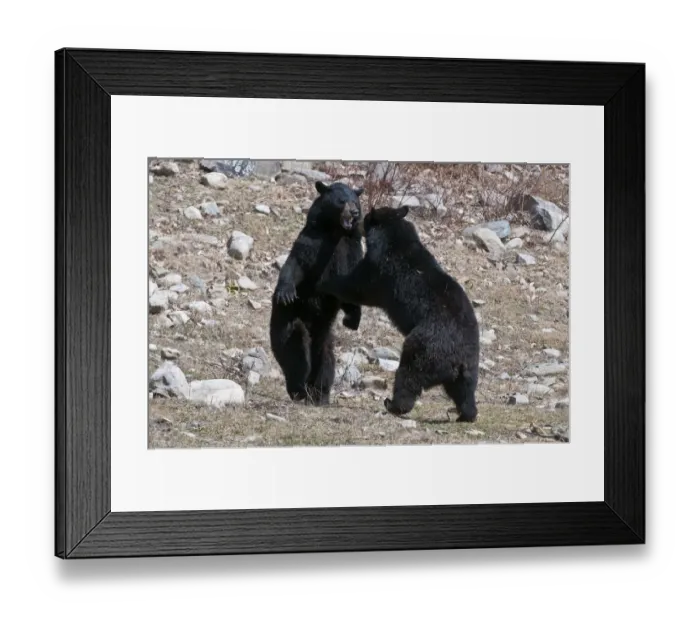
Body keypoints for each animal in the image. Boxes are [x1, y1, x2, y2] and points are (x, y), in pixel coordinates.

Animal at [270, 181, 365, 405]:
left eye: (355, 201)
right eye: (341, 200)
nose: (355, 212)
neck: (336, 233)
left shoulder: (351, 251)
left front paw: (353, 318)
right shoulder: (313, 243)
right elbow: (296, 264)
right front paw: (285, 292)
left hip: (324, 334)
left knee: (326, 359)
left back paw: (320, 395)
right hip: (287, 322)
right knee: (294, 350)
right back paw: (299, 389)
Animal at [318, 205, 480, 422]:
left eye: (366, 218)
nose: (355, 224)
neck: (393, 236)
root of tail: (458, 360)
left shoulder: (380, 268)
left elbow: (357, 286)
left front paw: (326, 282)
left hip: (424, 348)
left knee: (409, 376)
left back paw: (393, 404)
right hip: (467, 370)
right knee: (464, 392)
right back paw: (466, 414)